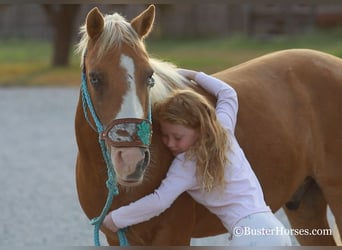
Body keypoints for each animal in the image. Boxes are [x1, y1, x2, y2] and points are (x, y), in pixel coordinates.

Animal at [75, 4, 342, 246]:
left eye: (149, 76)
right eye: (95, 78)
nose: (132, 161)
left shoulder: (173, 235)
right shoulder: (116, 239)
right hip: (305, 206)